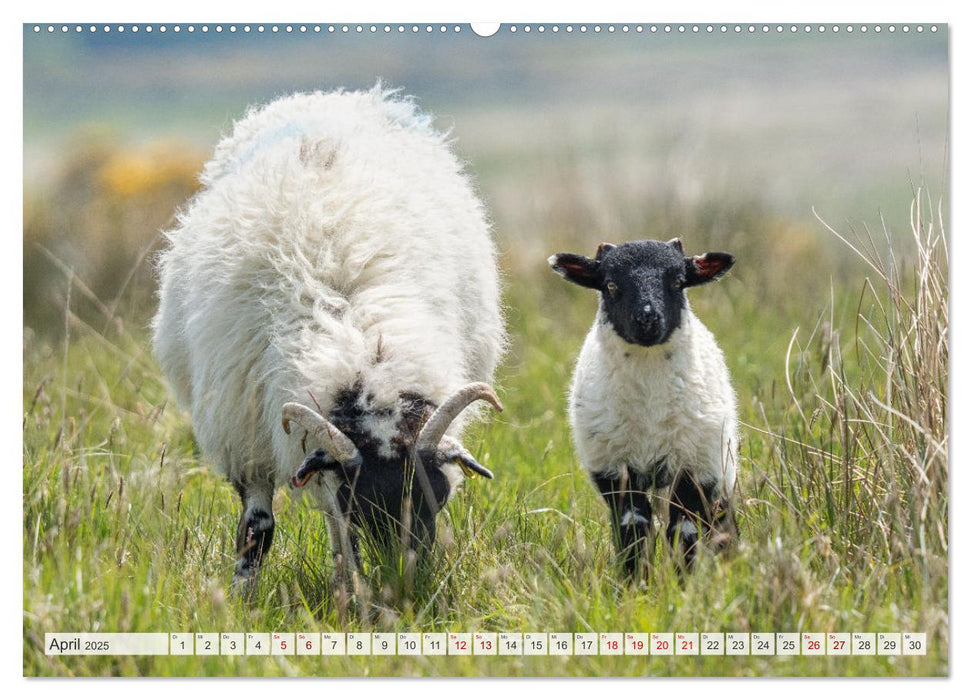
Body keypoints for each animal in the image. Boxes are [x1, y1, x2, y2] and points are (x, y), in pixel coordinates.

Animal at [152, 89, 508, 592]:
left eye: (437, 499)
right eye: (359, 506)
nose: (404, 586)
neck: (362, 346)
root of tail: (330, 97)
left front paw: (351, 584)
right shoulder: (246, 438)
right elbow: (257, 528)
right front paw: (244, 593)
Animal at [552, 238, 740, 576]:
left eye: (678, 282)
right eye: (611, 285)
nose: (647, 319)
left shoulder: (693, 468)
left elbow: (684, 531)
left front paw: (682, 583)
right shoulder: (616, 469)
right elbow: (633, 529)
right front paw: (635, 582)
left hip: (719, 462)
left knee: (720, 519)